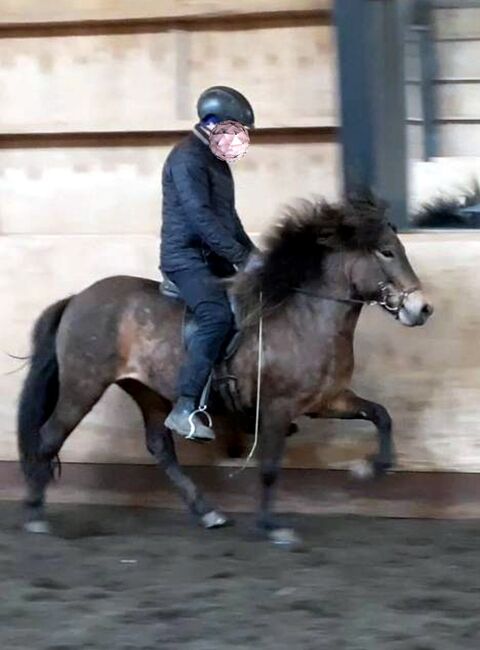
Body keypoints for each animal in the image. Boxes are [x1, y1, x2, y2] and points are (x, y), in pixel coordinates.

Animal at [16, 194, 434, 548]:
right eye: (387, 252)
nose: (423, 309)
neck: (307, 317)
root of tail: (77, 298)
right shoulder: (277, 408)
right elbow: (269, 467)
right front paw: (272, 526)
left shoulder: (327, 400)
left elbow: (381, 415)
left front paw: (372, 468)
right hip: (83, 385)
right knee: (48, 436)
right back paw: (36, 514)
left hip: (148, 391)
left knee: (160, 448)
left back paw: (207, 512)